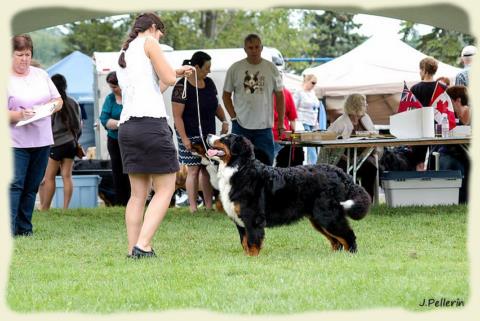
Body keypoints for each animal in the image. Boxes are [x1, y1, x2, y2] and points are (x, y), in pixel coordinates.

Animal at [206, 132, 372, 255]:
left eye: (225, 138)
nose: (208, 134)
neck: (240, 169)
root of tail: (340, 173)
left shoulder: (252, 218)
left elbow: (252, 242)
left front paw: (253, 259)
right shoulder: (240, 221)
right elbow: (244, 242)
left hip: (327, 215)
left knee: (348, 236)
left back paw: (350, 255)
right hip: (319, 218)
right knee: (336, 242)